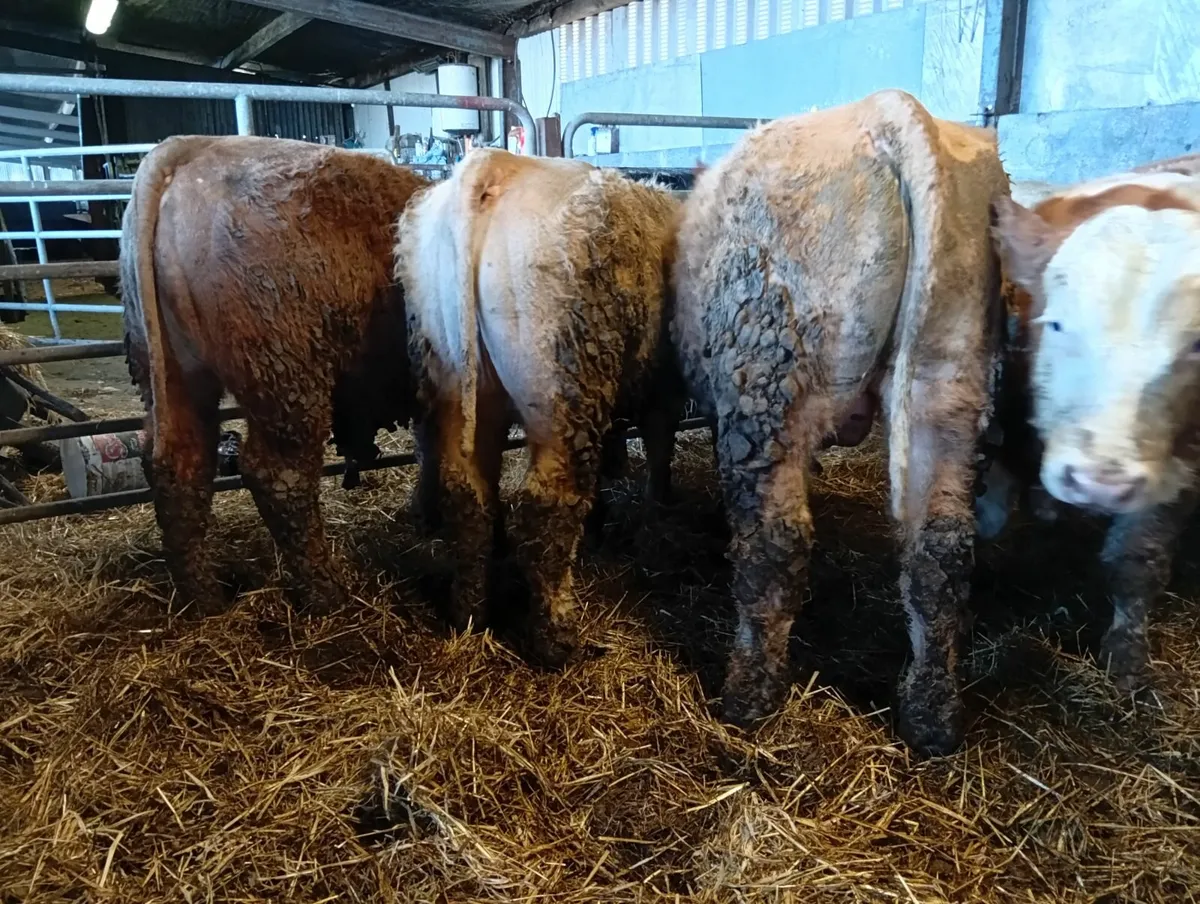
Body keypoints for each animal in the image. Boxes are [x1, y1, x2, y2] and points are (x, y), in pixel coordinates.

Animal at [121, 135, 428, 615]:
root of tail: (192, 149)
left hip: (171, 376)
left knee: (181, 467)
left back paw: (205, 600)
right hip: (288, 381)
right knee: (280, 476)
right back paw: (327, 594)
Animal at [395, 149, 681, 667]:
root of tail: (494, 165)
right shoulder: (663, 386)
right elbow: (659, 447)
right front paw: (657, 512)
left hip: (453, 377)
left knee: (466, 493)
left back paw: (469, 611)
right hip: (563, 387)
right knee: (548, 505)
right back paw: (558, 639)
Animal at [670, 90, 1010, 757]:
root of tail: (888, 112)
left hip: (767, 371)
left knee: (774, 542)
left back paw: (747, 697)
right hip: (948, 374)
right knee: (940, 549)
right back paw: (931, 719)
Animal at [988, 155, 1200, 691]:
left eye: (1197, 345)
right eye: (1057, 323)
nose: (1100, 482)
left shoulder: (1182, 468)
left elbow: (1137, 562)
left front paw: (1125, 657)